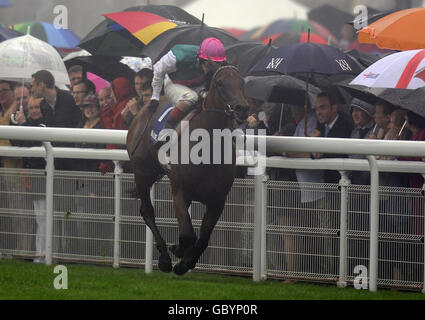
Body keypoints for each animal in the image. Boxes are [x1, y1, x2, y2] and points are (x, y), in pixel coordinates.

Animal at [126, 65, 248, 276]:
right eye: (220, 83)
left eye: (242, 82)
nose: (242, 108)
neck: (208, 149)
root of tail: (140, 113)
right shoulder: (179, 190)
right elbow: (188, 235)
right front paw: (178, 255)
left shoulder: (218, 200)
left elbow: (202, 238)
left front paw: (185, 261)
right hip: (142, 173)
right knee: (147, 211)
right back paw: (165, 259)